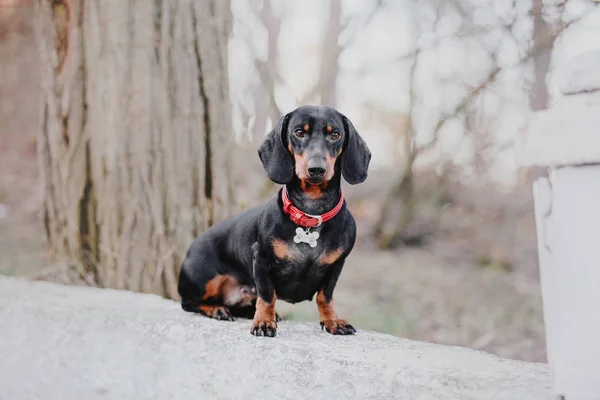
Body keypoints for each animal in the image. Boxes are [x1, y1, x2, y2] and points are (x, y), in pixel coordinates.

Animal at [177, 104, 370, 336]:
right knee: (189, 303)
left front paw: (332, 320)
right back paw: (218, 309)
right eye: (299, 132)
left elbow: (326, 296)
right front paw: (263, 321)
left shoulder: (336, 265)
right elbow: (268, 295)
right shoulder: (261, 259)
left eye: (335, 135)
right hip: (204, 278)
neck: (311, 213)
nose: (317, 169)